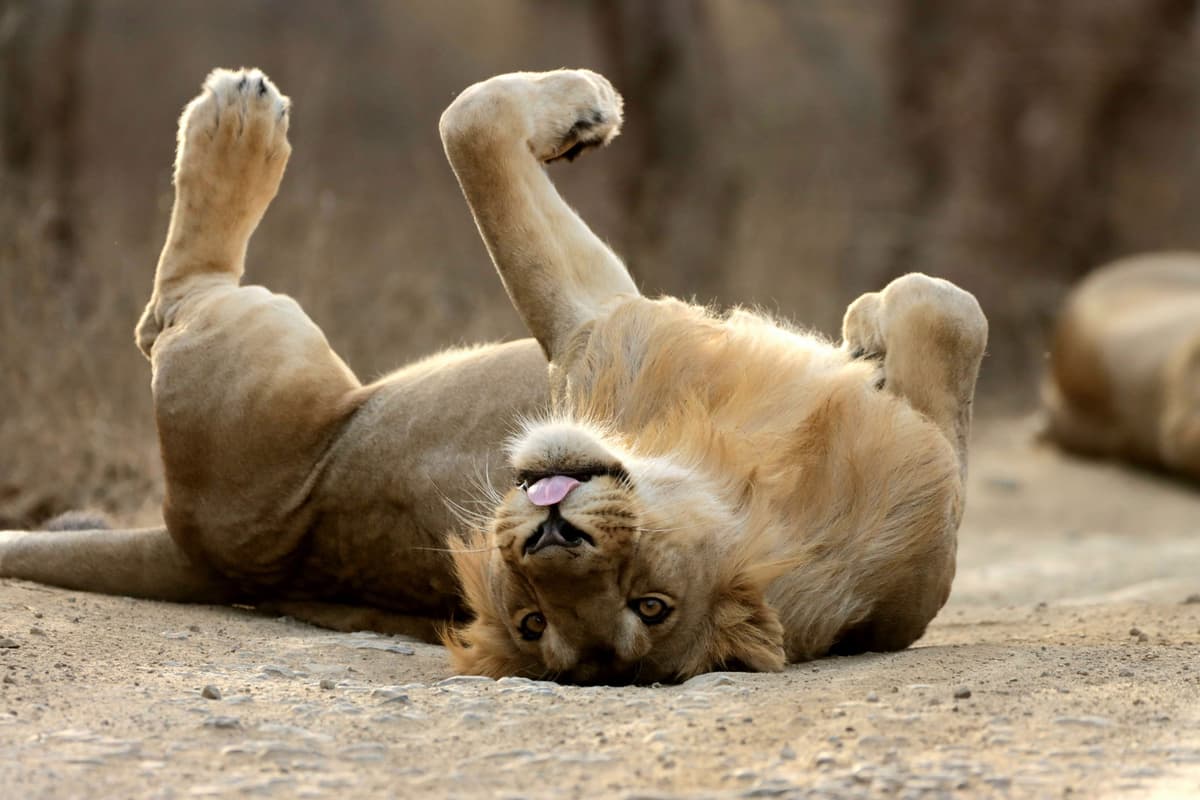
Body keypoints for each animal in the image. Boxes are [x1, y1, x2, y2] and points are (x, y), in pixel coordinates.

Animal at [0, 67, 987, 683]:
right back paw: (239, 120)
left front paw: (871, 325)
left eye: (649, 606)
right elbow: (472, 121)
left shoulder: (600, 323)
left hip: (252, 340)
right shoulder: (599, 326)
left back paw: (237, 121)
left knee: (170, 310)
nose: (550, 536)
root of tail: (194, 549)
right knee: (165, 309)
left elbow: (468, 122)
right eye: (533, 619)